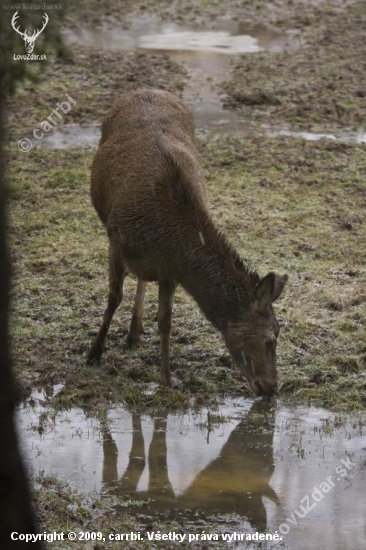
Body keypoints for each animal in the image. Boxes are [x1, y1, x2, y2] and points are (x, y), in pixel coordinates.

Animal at [87, 88, 288, 396]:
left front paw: (167, 380)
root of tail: (146, 89)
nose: (271, 388)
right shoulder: (116, 240)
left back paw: (135, 332)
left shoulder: (169, 271)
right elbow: (113, 297)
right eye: (270, 339)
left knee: (143, 279)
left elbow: (165, 321)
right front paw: (93, 352)